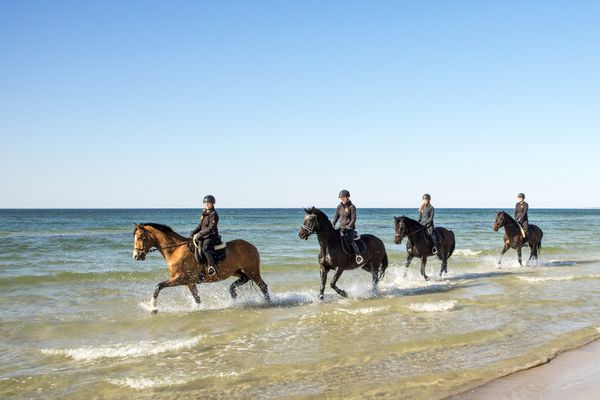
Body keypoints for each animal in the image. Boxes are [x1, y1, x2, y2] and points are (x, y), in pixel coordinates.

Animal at [134, 222, 272, 312]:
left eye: (140, 237)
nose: (136, 256)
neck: (176, 250)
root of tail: (252, 246)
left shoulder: (182, 278)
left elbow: (158, 286)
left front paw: (153, 308)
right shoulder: (189, 282)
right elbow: (197, 298)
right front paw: (198, 309)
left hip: (252, 270)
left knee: (263, 286)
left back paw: (269, 303)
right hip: (237, 271)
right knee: (243, 280)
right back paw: (233, 296)